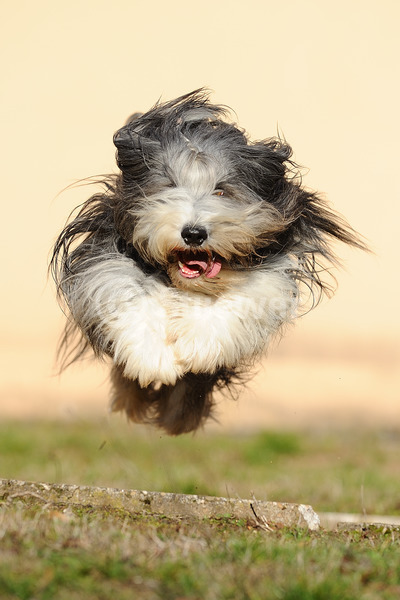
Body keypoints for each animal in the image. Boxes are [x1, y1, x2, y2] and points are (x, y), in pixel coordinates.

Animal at [50, 89, 366, 434]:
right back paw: (135, 403)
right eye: (169, 186)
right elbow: (123, 288)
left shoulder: (271, 269)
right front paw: (153, 356)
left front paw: (196, 343)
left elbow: (241, 300)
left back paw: (177, 417)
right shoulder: (108, 251)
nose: (193, 233)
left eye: (222, 191)